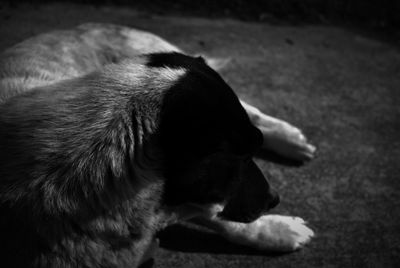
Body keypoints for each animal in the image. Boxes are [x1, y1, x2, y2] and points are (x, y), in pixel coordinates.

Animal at [0, 23, 316, 268]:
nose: (275, 198)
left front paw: (278, 230)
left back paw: (291, 140)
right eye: (239, 157)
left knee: (254, 112)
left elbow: (222, 217)